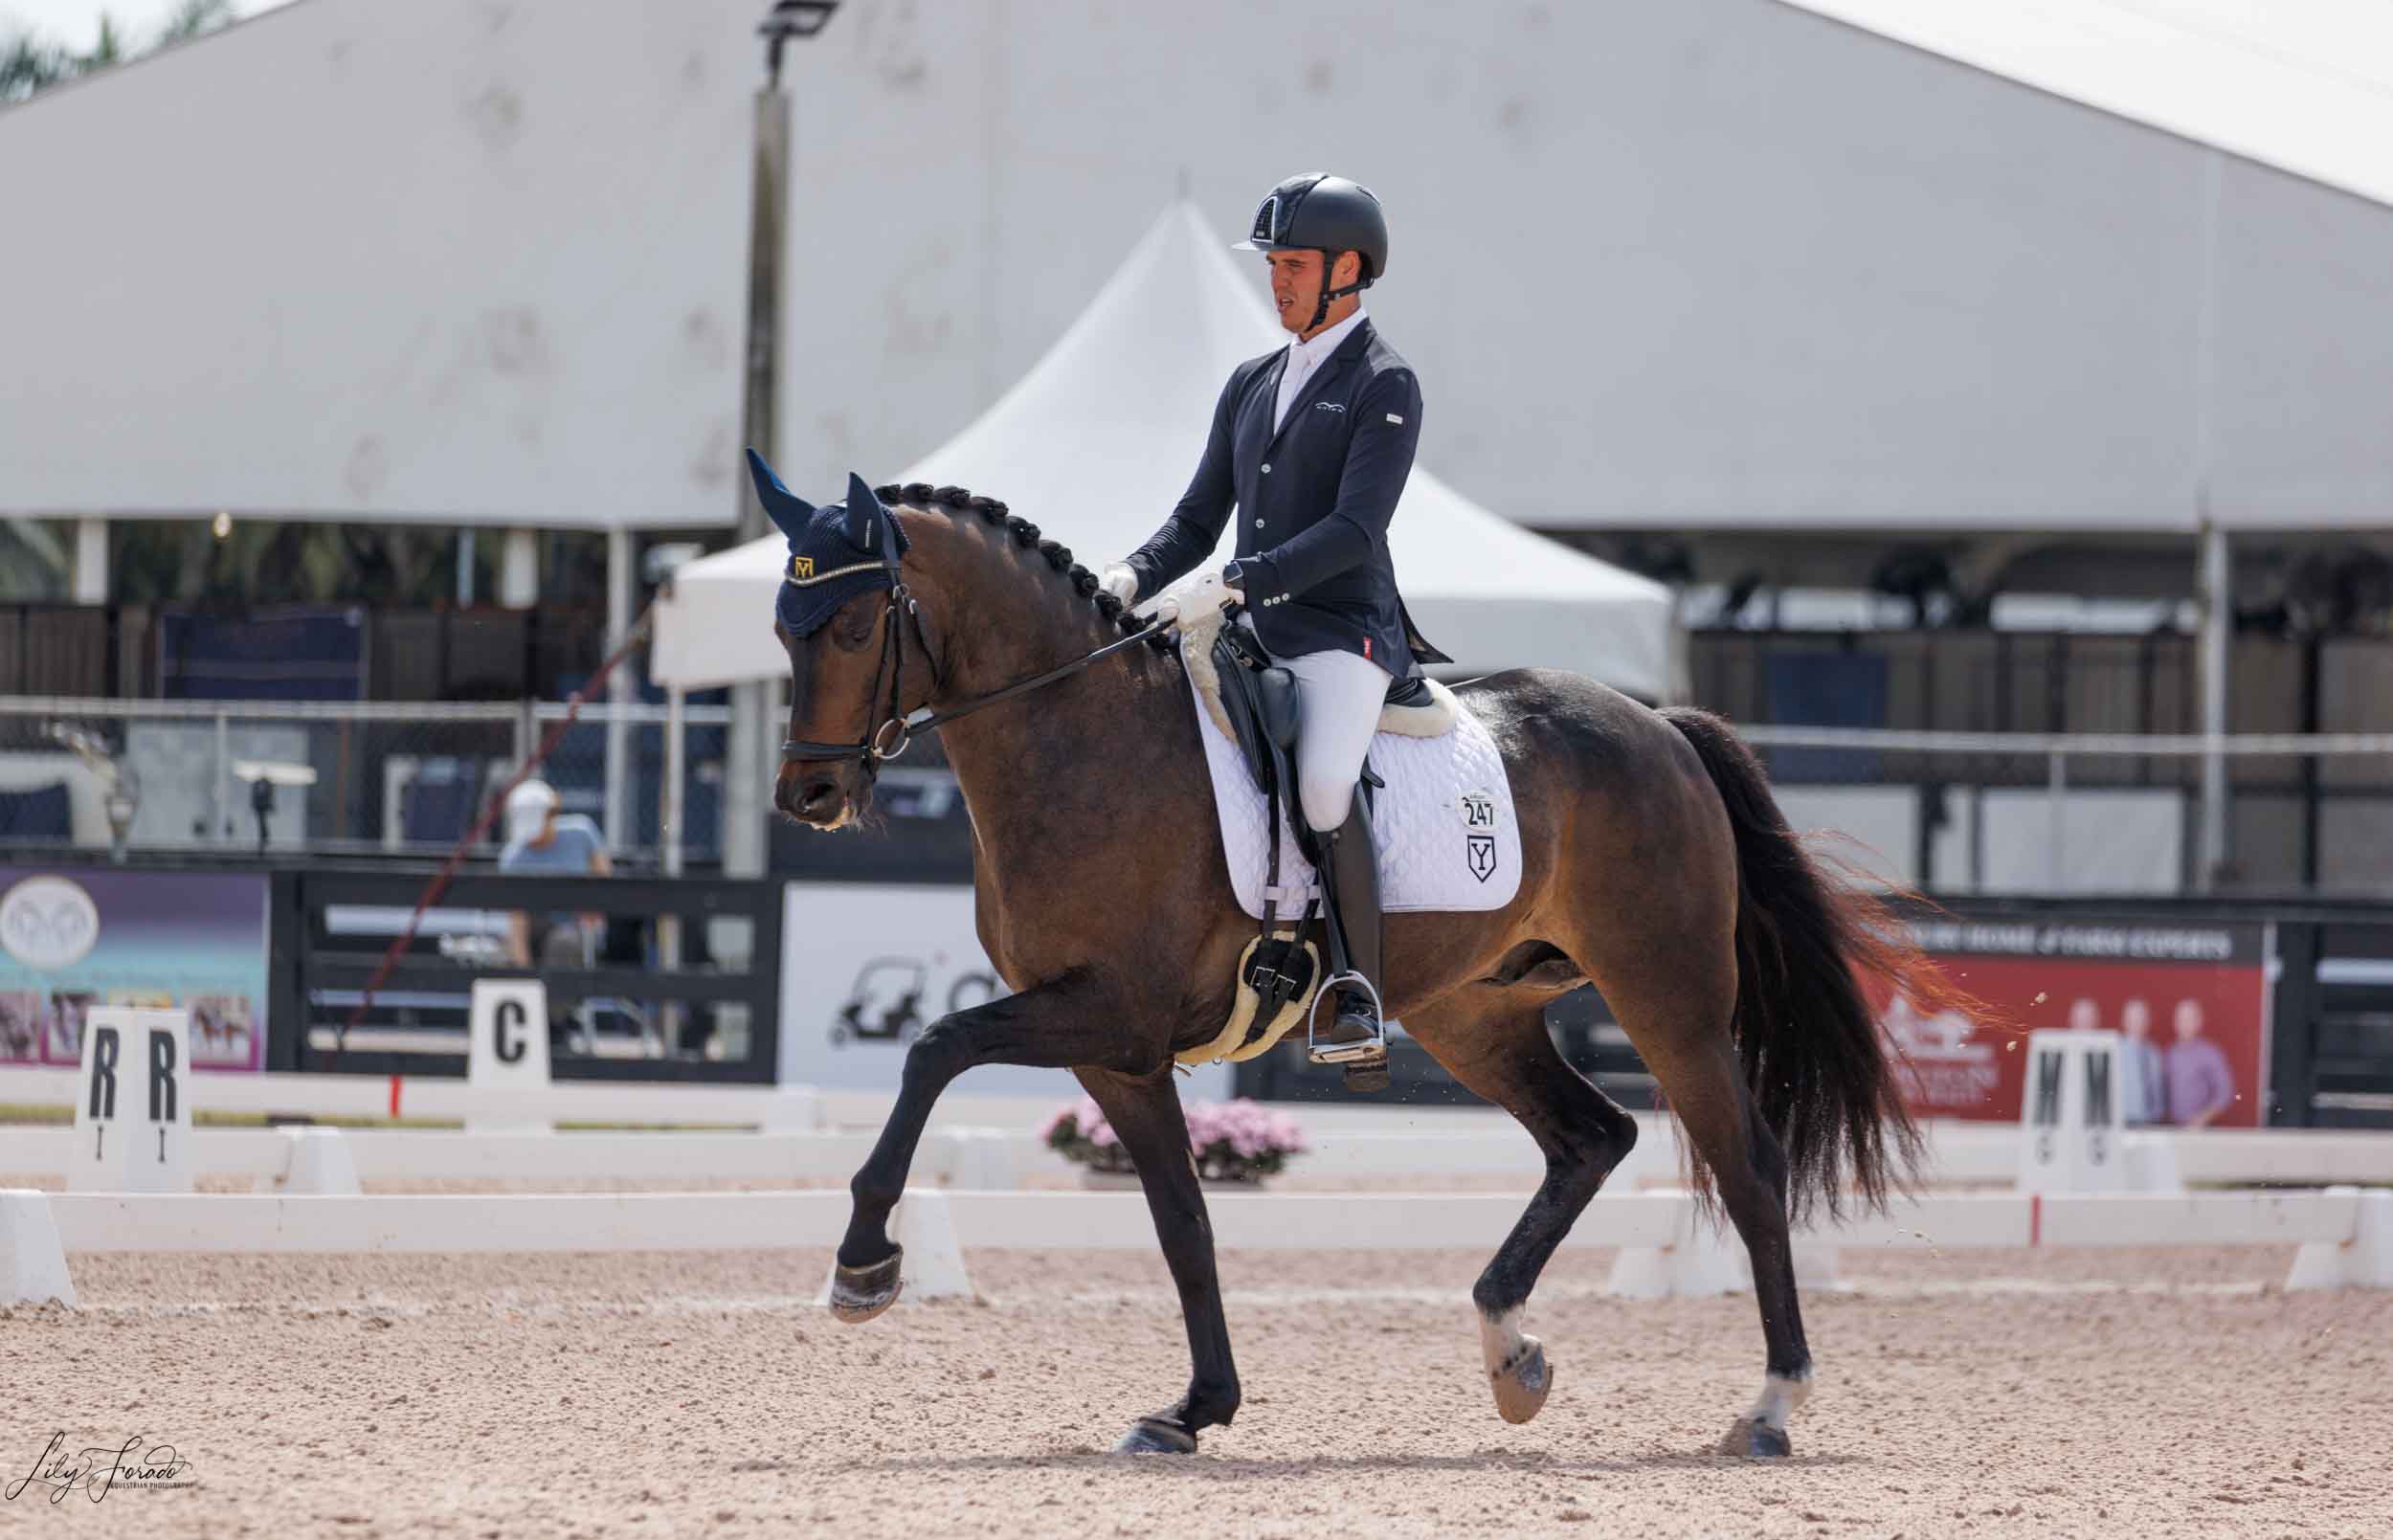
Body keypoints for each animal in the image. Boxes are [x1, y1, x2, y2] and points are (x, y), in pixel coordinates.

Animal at [766, 476, 1943, 1463]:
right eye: (783, 627)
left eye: (858, 624)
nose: (807, 798)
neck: (1080, 739)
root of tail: (1663, 726)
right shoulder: (1122, 1056)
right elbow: (1183, 1220)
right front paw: (1195, 1409)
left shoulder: (1111, 1012)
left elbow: (933, 1046)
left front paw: (864, 1262)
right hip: (1477, 1011)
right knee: (1591, 1137)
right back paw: (1510, 1351)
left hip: (1669, 1000)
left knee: (1745, 1164)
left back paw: (1770, 1404)